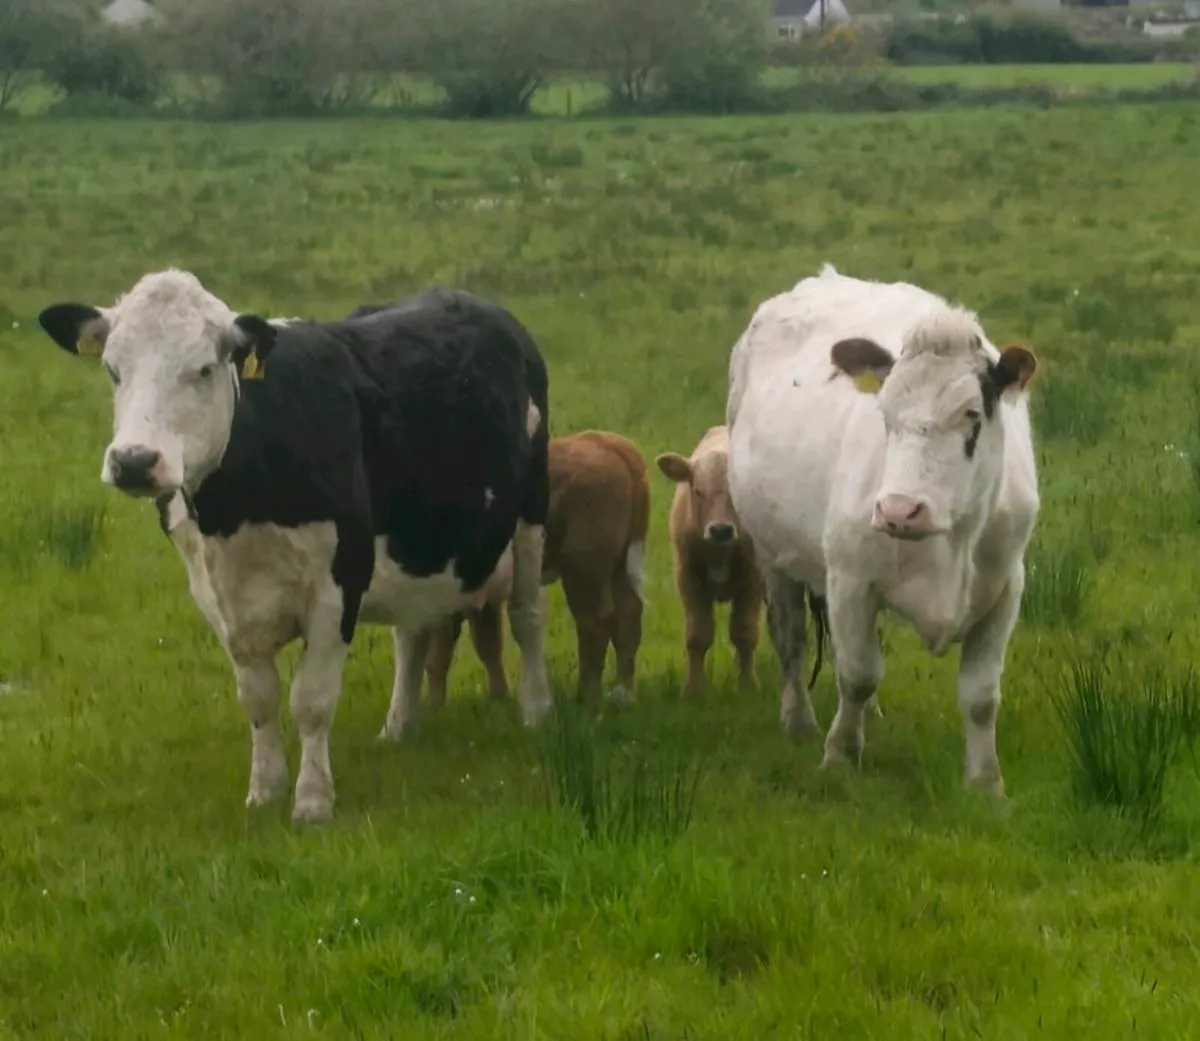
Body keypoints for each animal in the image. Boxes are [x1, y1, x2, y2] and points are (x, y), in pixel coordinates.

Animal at [37, 270, 554, 824]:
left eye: (204, 369)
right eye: (113, 369)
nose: (134, 461)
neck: (234, 514)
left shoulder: (338, 585)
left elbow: (312, 700)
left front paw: (312, 800)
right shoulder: (218, 596)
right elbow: (258, 699)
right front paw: (264, 788)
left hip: (532, 513)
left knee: (527, 614)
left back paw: (536, 710)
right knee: (410, 635)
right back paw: (398, 726)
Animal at [424, 430, 651, 709]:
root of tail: (606, 441)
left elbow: (439, 654)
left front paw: (434, 707)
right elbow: (488, 644)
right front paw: (498, 699)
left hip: (582, 569)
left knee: (594, 625)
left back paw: (586, 697)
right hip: (619, 566)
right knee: (628, 618)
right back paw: (624, 694)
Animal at [725, 264, 1039, 795]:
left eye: (972, 415)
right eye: (885, 415)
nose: (899, 510)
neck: (950, 544)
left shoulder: (1005, 589)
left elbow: (980, 696)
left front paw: (985, 783)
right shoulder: (851, 580)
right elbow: (856, 675)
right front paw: (839, 755)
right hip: (773, 556)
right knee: (792, 641)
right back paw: (799, 720)